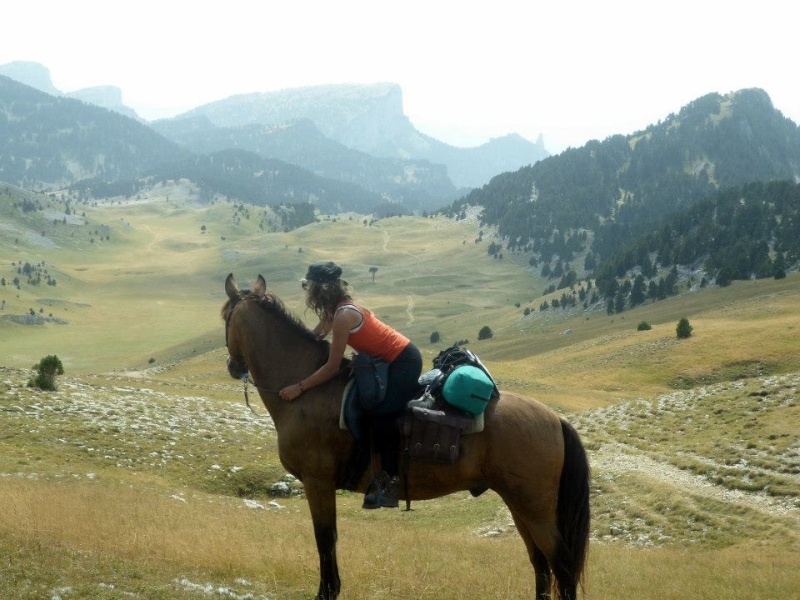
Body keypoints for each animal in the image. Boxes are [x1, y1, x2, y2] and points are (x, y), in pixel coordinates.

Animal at [222, 276, 592, 600]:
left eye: (225, 316)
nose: (232, 366)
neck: (308, 391)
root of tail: (555, 418)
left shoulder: (318, 482)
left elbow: (325, 540)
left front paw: (327, 592)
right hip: (519, 503)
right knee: (540, 562)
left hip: (534, 506)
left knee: (561, 563)